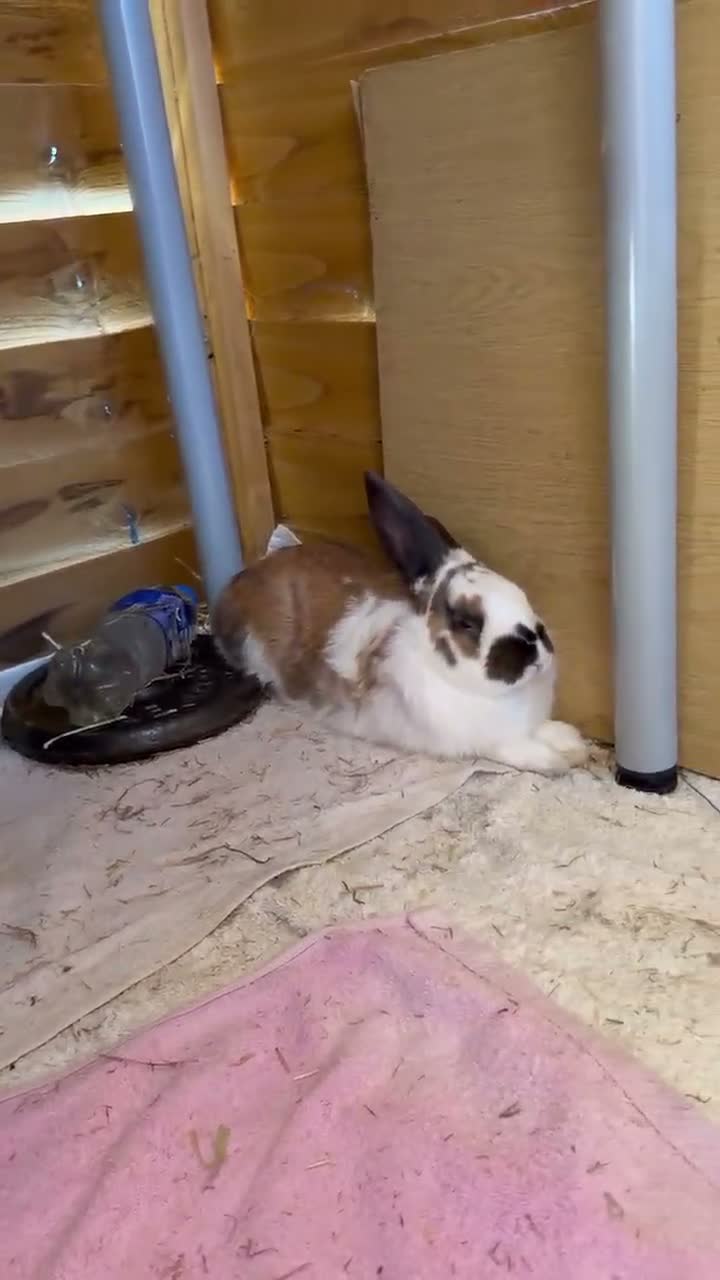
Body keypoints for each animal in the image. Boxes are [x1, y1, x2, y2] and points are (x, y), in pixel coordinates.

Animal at [212, 471, 589, 774]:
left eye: (521, 594)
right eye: (466, 623)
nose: (533, 649)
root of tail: (236, 585)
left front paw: (571, 742)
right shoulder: (483, 740)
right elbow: (514, 748)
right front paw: (557, 760)